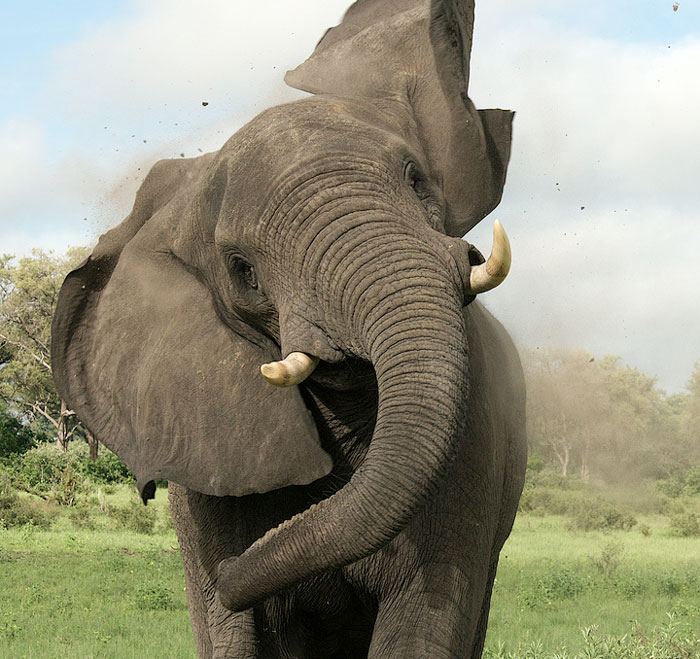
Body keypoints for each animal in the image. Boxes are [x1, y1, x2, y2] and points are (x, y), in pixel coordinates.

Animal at [51, 0, 527, 657]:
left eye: (416, 180)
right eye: (241, 269)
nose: (231, 573)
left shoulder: (475, 433)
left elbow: (425, 618)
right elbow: (234, 635)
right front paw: (231, 591)